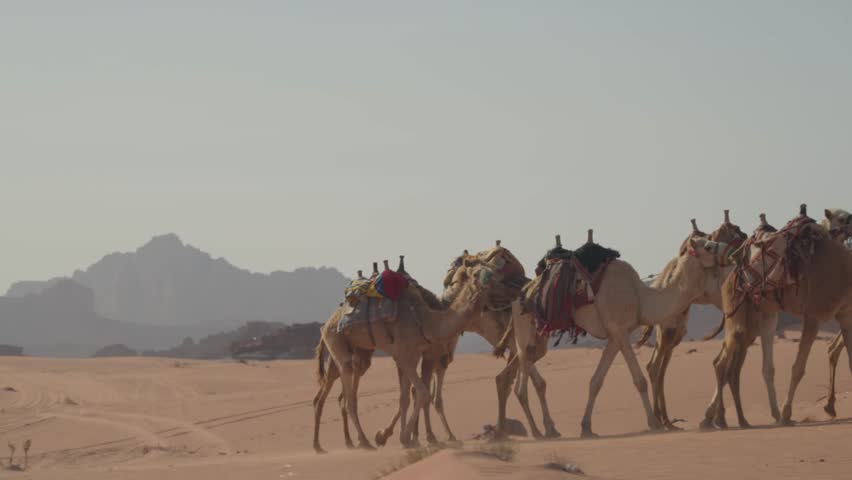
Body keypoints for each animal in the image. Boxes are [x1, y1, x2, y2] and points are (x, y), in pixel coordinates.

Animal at [498, 228, 731, 437]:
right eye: (708, 246)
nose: (727, 250)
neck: (641, 298)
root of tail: (520, 295)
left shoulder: (613, 336)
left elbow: (596, 382)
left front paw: (586, 428)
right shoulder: (620, 330)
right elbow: (639, 380)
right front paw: (654, 424)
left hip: (537, 337)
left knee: (527, 368)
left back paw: (548, 429)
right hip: (525, 327)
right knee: (523, 374)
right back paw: (538, 431)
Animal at [636, 211, 748, 430]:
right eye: (708, 247)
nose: (732, 253)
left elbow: (729, 367)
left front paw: (724, 418)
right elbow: (727, 366)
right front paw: (719, 419)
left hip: (677, 327)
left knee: (659, 367)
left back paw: (665, 420)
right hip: (669, 325)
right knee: (655, 366)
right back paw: (662, 421)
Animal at [704, 205, 852, 428]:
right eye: (843, 219)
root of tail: (732, 271)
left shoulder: (845, 316)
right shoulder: (813, 315)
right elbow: (798, 368)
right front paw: (787, 413)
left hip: (763, 315)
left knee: (756, 367)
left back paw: (737, 418)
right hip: (735, 312)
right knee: (721, 363)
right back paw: (715, 419)